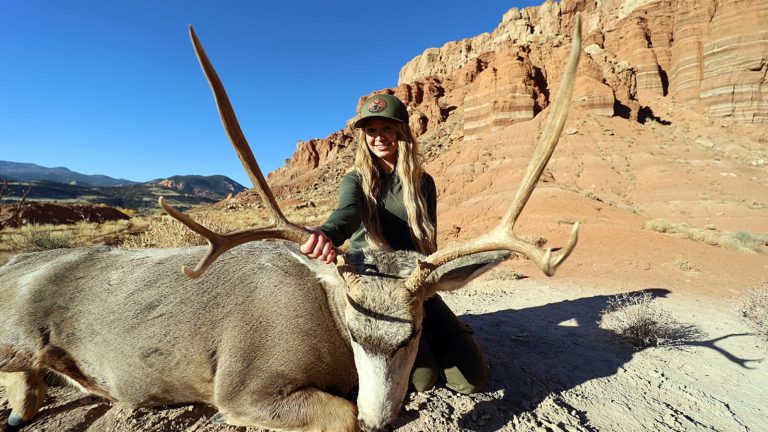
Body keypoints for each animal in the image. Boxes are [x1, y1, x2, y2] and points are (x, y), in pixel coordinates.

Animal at [0, 15, 581, 432]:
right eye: (353, 331)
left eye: (413, 333)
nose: (379, 422)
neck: (328, 324)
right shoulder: (241, 384)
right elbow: (341, 416)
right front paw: (360, 416)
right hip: (16, 333)